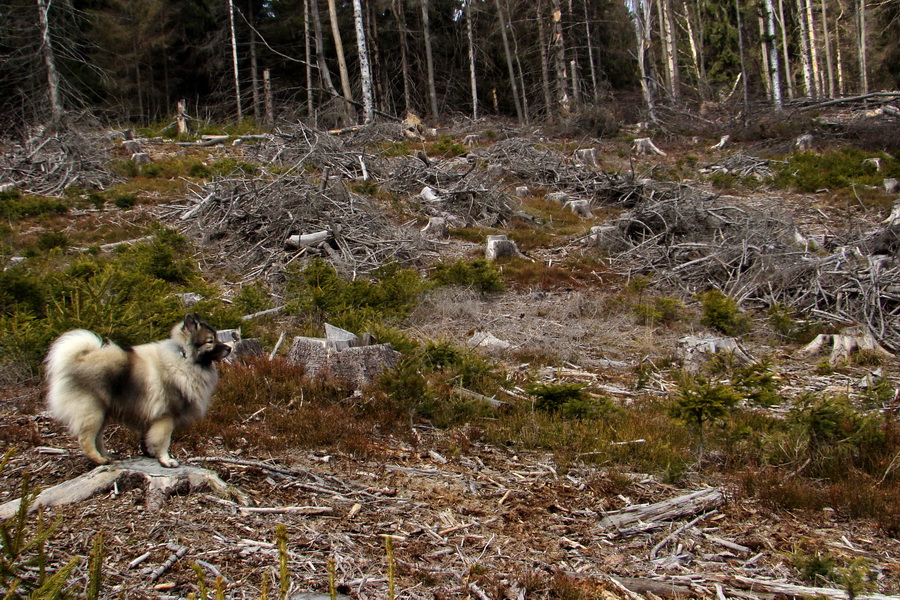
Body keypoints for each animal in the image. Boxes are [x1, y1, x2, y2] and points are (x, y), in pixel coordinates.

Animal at [44, 314, 230, 468]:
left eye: (217, 338)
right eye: (210, 341)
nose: (229, 348)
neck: (183, 358)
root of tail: (79, 358)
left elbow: (146, 438)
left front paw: (149, 454)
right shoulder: (166, 417)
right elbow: (163, 441)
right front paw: (166, 460)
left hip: (103, 413)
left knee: (97, 438)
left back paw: (107, 456)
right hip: (92, 411)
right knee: (86, 439)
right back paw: (99, 459)